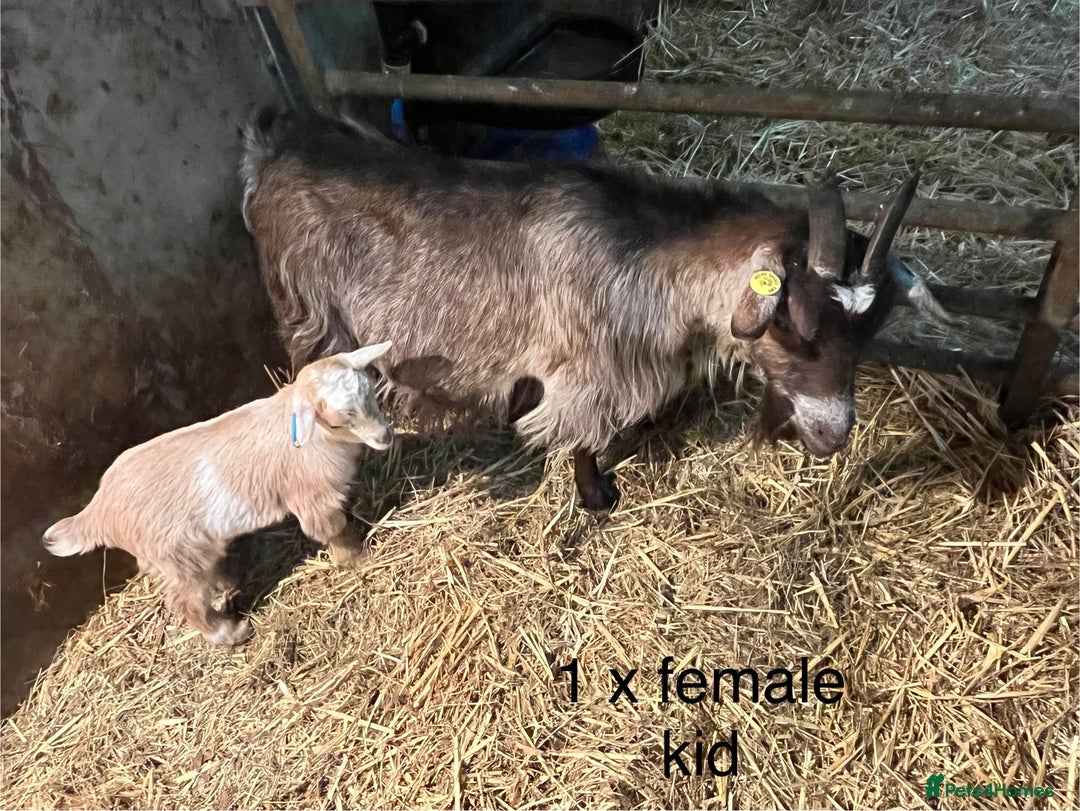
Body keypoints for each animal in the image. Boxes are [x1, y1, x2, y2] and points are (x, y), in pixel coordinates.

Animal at [42, 343, 393, 645]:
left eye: (371, 390)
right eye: (337, 421)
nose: (385, 436)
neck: (316, 437)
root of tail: (98, 510)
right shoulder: (312, 497)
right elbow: (332, 530)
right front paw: (357, 559)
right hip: (176, 557)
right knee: (185, 602)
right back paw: (229, 633)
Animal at [241, 111, 947, 510]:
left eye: (870, 327)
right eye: (795, 324)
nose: (834, 434)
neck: (646, 260)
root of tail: (272, 153)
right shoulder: (585, 374)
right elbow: (585, 438)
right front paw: (596, 497)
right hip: (309, 314)